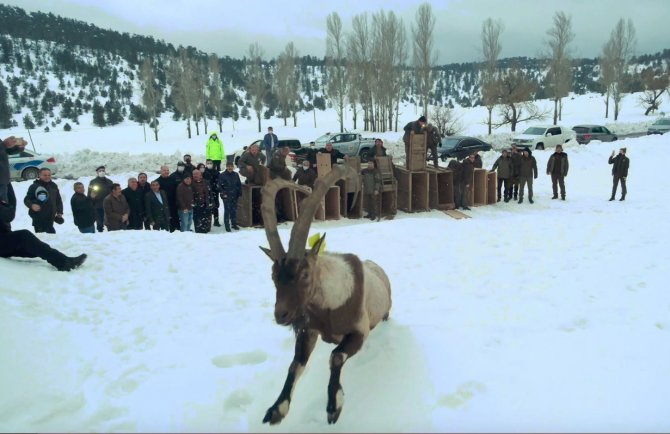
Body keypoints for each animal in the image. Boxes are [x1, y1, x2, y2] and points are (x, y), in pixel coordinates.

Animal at [258, 165, 394, 424]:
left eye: (305, 274)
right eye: (273, 274)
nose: (281, 315)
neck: (330, 306)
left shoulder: (359, 331)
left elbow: (336, 357)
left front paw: (334, 406)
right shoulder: (309, 330)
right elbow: (295, 365)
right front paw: (277, 409)